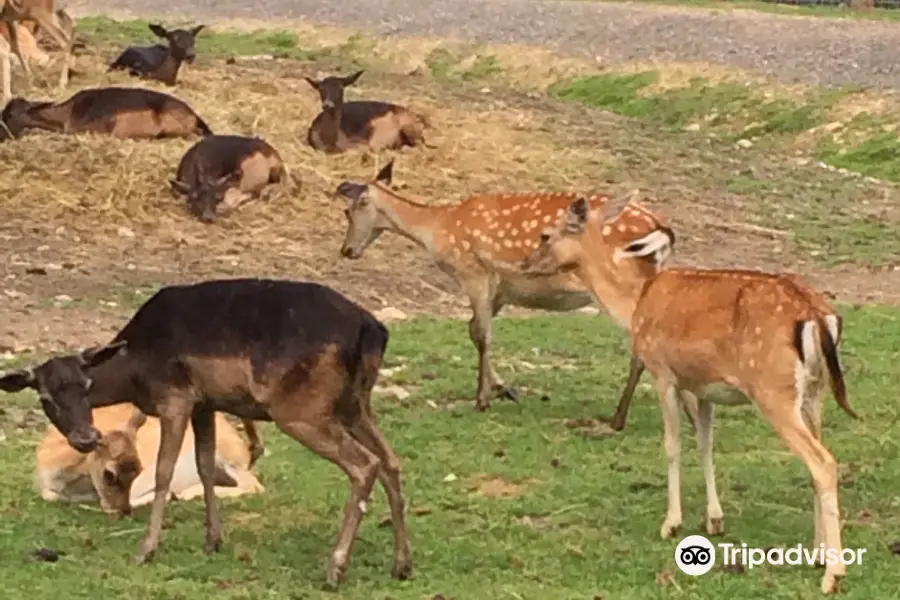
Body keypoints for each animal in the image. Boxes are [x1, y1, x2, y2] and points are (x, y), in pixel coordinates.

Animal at [36, 404, 268, 516]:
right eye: (109, 474)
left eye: (138, 468)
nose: (122, 511)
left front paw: (169, 496)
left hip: (229, 461)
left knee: (254, 486)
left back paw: (183, 494)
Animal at [524, 197, 860, 596]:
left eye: (546, 234)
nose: (525, 263)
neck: (634, 304)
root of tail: (818, 317)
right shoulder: (702, 387)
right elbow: (705, 444)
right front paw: (714, 519)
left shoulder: (663, 373)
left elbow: (672, 445)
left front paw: (671, 523)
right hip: (814, 392)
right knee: (820, 458)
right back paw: (818, 552)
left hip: (772, 390)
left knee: (822, 462)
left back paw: (833, 574)